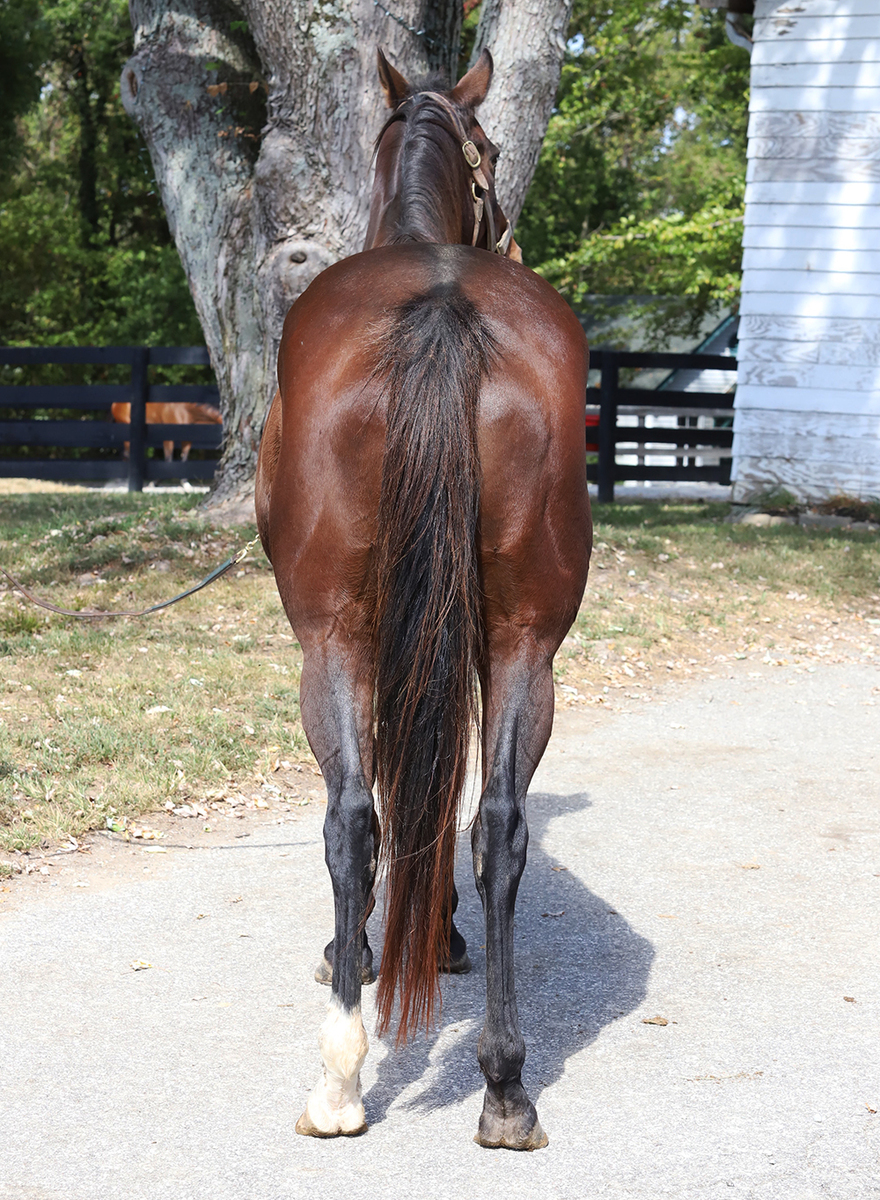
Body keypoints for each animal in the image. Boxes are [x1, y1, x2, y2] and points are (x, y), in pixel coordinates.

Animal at [255, 48, 592, 1150]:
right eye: (490, 148)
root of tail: (443, 305)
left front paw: (376, 947)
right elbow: (445, 794)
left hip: (332, 639)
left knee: (352, 819)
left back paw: (341, 1075)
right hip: (526, 639)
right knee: (498, 825)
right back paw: (504, 1083)